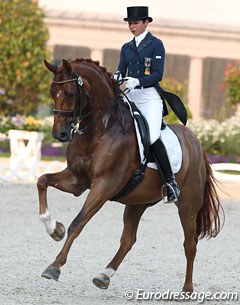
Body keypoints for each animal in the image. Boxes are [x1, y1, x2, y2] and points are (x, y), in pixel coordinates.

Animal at [37, 57, 223, 292]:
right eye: (52, 91)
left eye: (70, 93)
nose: (59, 134)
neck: (101, 130)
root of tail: (195, 142)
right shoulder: (77, 180)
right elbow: (42, 181)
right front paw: (54, 228)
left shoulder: (103, 186)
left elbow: (78, 223)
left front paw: (54, 266)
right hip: (137, 202)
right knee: (128, 239)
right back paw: (104, 275)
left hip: (188, 204)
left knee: (190, 243)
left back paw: (187, 289)